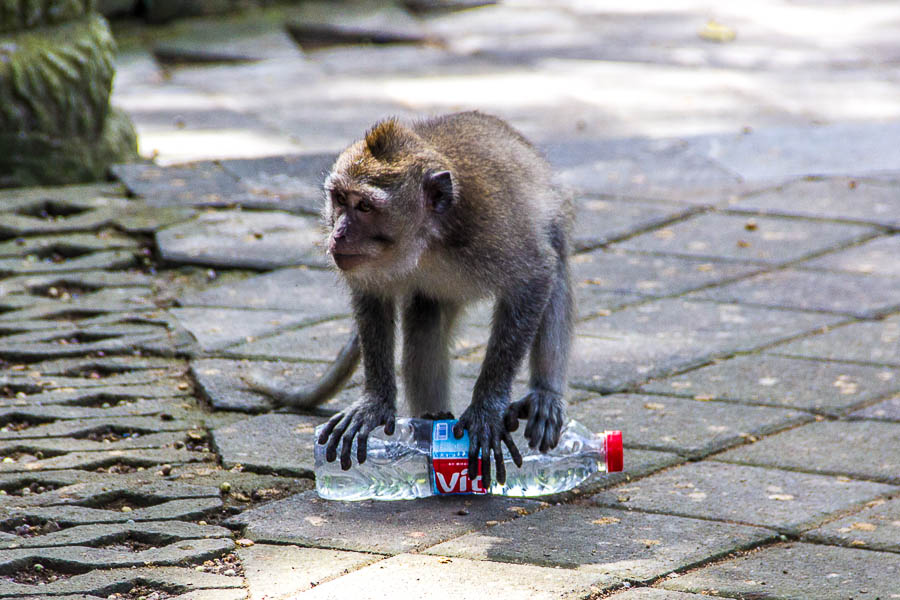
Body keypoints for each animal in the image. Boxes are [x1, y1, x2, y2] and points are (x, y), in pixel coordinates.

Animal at [243, 112, 572, 492]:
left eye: (365, 206)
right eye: (339, 198)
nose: (337, 234)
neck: (429, 238)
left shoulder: (494, 230)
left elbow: (535, 278)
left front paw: (487, 408)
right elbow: (372, 298)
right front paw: (375, 403)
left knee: (556, 267)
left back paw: (544, 396)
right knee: (425, 318)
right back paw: (431, 424)